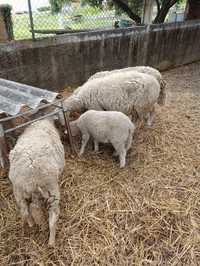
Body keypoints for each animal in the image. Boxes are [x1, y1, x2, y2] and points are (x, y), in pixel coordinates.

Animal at [8, 117, 65, 246]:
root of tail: (30, 178)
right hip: (51, 189)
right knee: (50, 216)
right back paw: (51, 240)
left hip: (18, 190)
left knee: (25, 210)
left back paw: (31, 224)